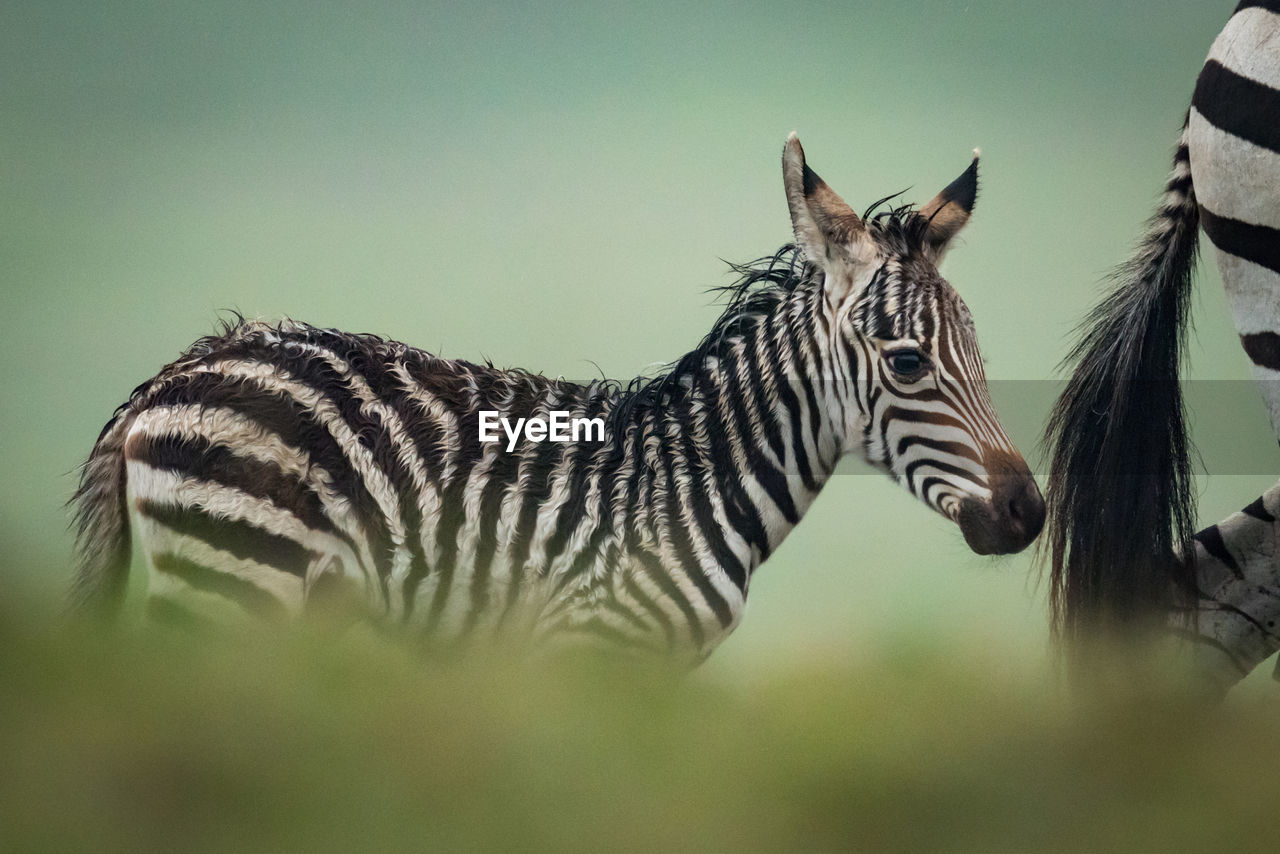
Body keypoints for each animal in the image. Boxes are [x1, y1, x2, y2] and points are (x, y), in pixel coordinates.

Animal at [74, 136, 1044, 665]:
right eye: (909, 364)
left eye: (980, 358)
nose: (1030, 514)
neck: (697, 484)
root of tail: (171, 374)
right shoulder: (591, 651)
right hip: (235, 581)